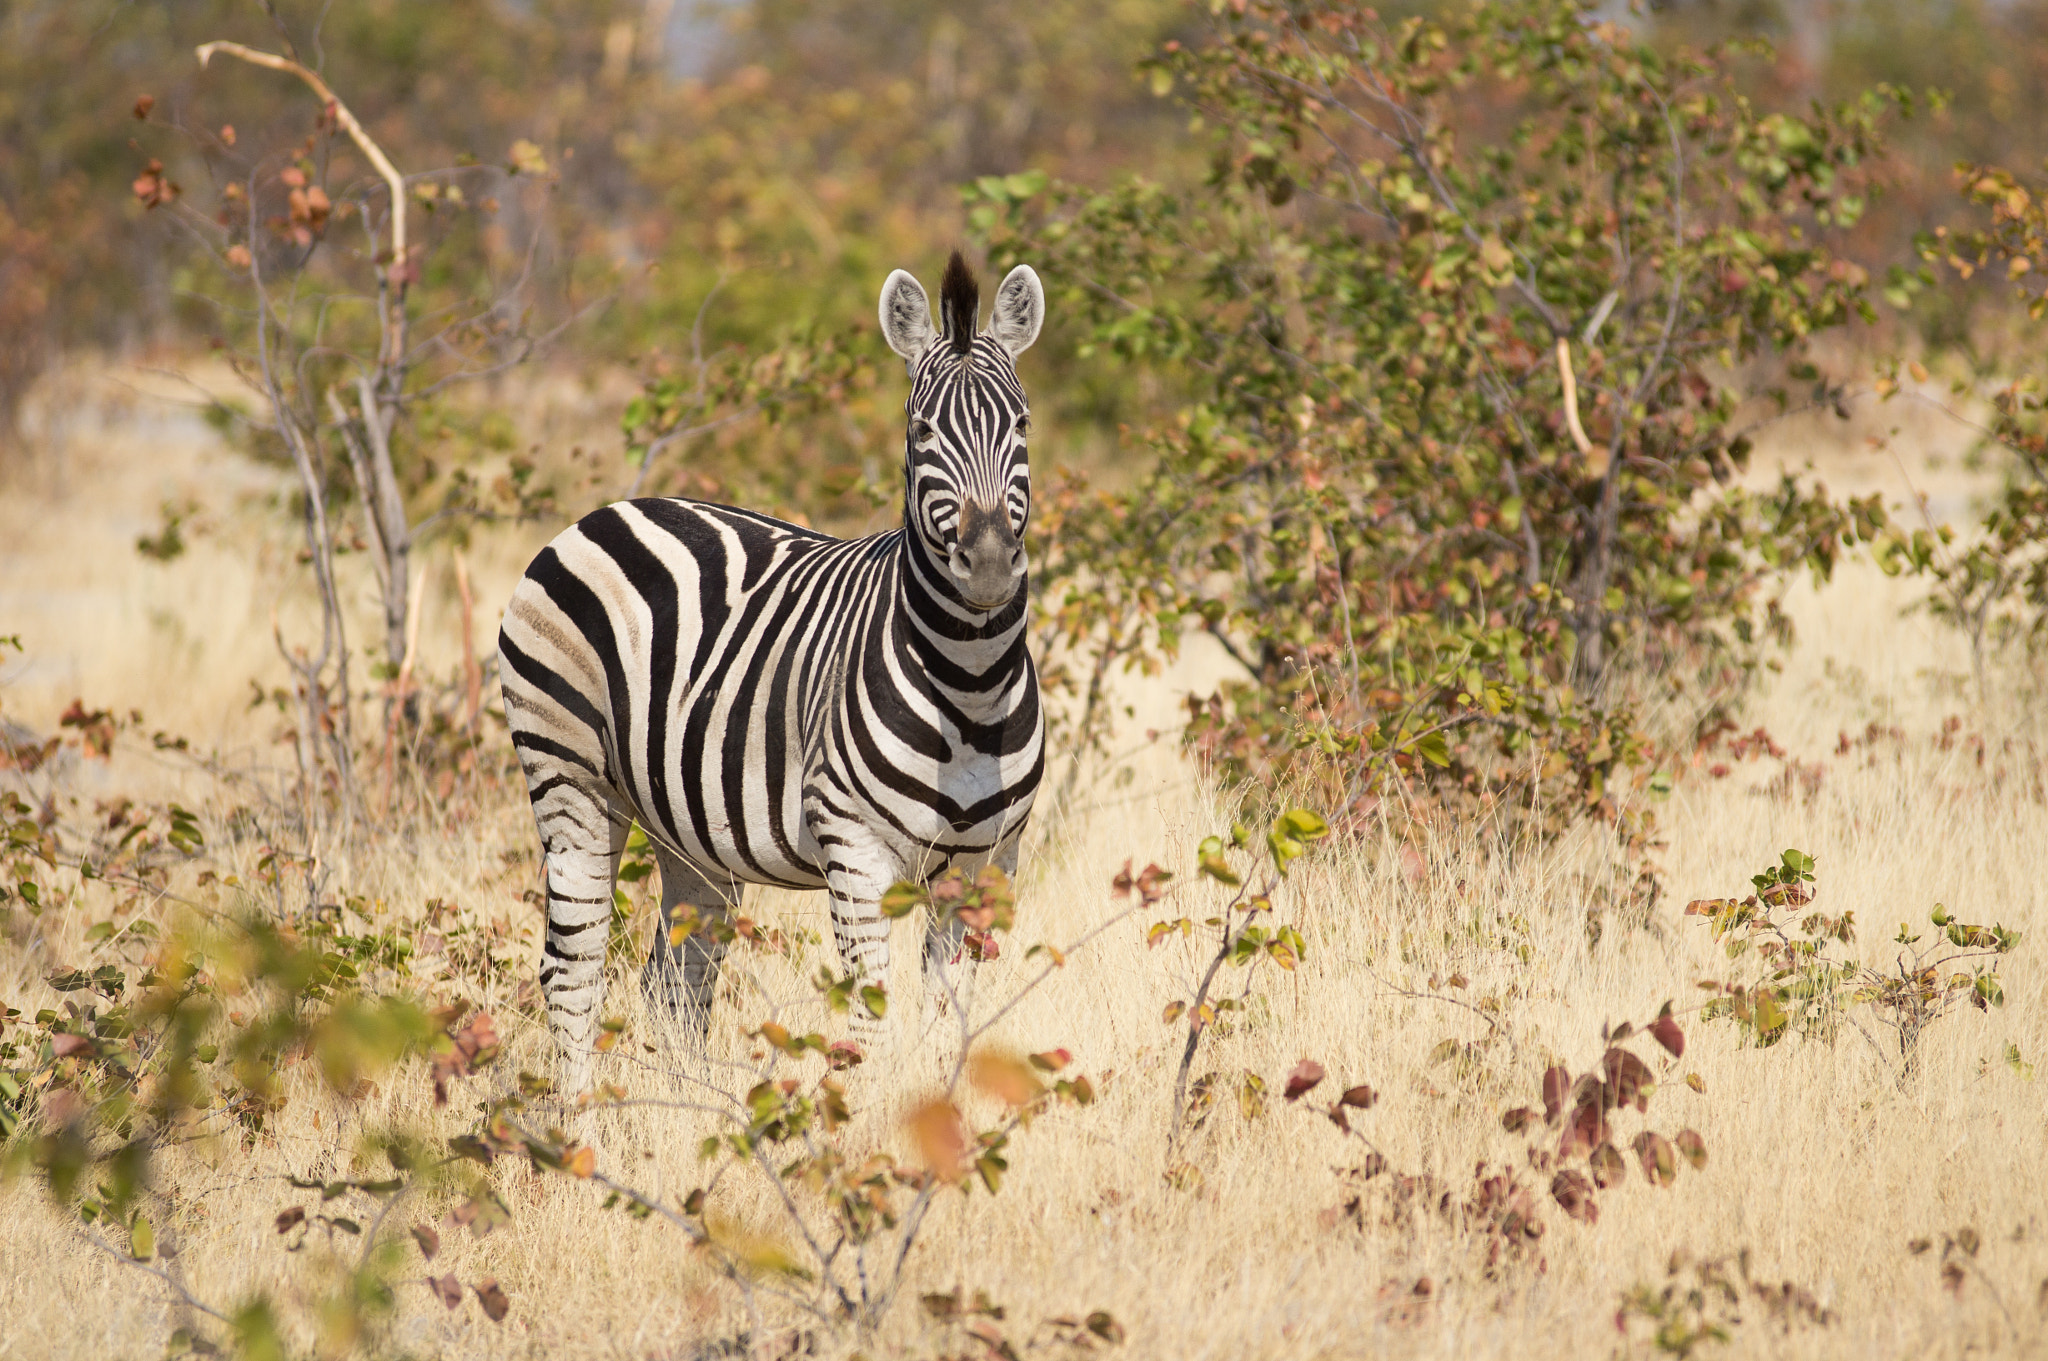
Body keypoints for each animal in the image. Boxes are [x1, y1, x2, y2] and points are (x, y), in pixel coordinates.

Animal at [493, 249, 1040, 1088]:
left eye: (1021, 424)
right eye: (920, 430)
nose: (985, 566)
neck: (972, 687)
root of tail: (605, 512)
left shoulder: (988, 866)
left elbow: (955, 1021)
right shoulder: (854, 848)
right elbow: (872, 1021)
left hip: (686, 829)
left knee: (675, 980)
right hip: (570, 777)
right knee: (571, 969)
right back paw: (577, 1117)